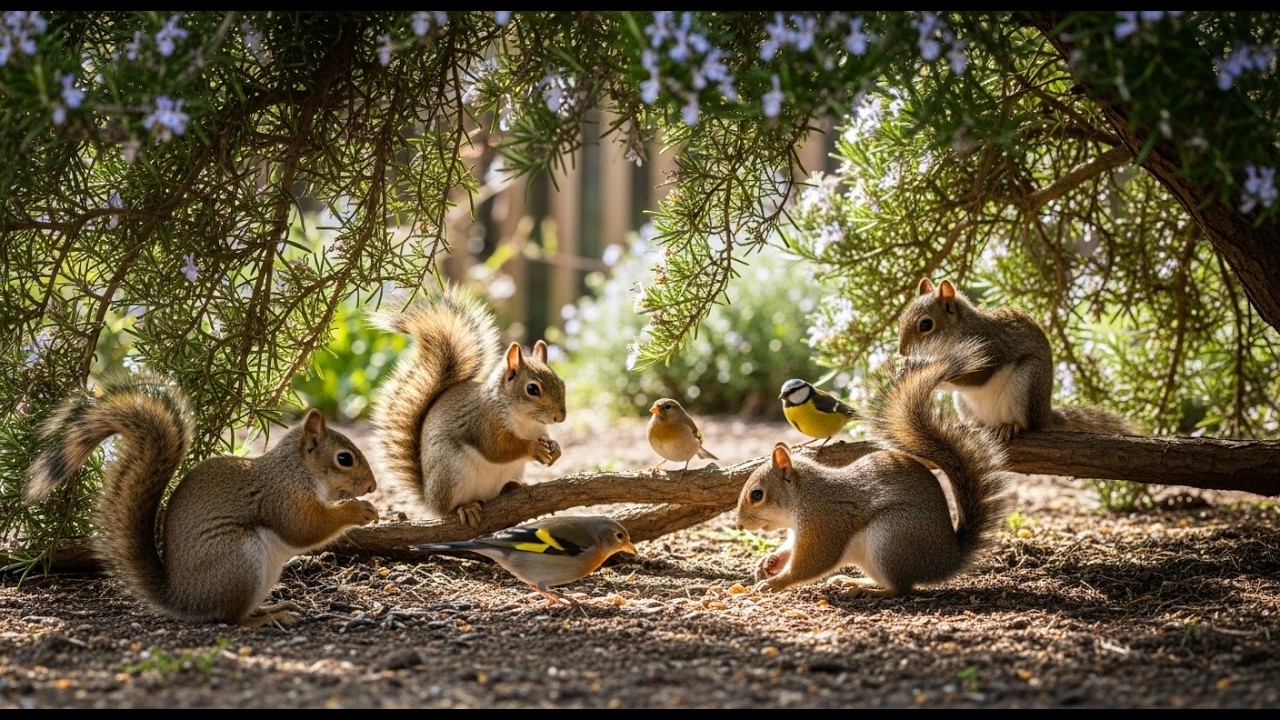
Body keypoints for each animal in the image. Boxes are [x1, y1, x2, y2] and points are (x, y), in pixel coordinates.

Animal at [22, 372, 379, 627]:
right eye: (344, 459)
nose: (373, 487)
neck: (298, 469)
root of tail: (182, 598)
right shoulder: (282, 495)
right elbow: (304, 528)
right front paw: (358, 510)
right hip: (238, 560)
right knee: (231, 619)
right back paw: (269, 618)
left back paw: (272, 606)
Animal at [369, 285, 566, 527]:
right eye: (532, 389)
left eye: (561, 382)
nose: (560, 417)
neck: (524, 420)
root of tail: (429, 499)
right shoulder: (485, 422)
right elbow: (497, 449)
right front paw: (532, 448)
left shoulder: (538, 429)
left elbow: (545, 440)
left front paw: (555, 448)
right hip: (452, 471)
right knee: (449, 509)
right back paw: (465, 508)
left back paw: (512, 487)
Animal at [735, 336, 1011, 596]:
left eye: (756, 495)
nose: (739, 525)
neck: (802, 497)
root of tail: (947, 559)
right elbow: (789, 548)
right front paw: (769, 562)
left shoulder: (824, 521)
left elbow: (813, 563)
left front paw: (774, 582)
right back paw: (853, 580)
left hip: (891, 538)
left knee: (899, 589)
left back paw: (863, 590)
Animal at [897, 277, 1138, 441]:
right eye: (902, 318)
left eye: (926, 325)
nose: (902, 351)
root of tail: (1043, 415)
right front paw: (905, 369)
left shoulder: (988, 349)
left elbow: (976, 377)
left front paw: (920, 366)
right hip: (963, 402)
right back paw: (970, 425)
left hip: (1026, 381)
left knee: (1025, 423)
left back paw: (1010, 426)